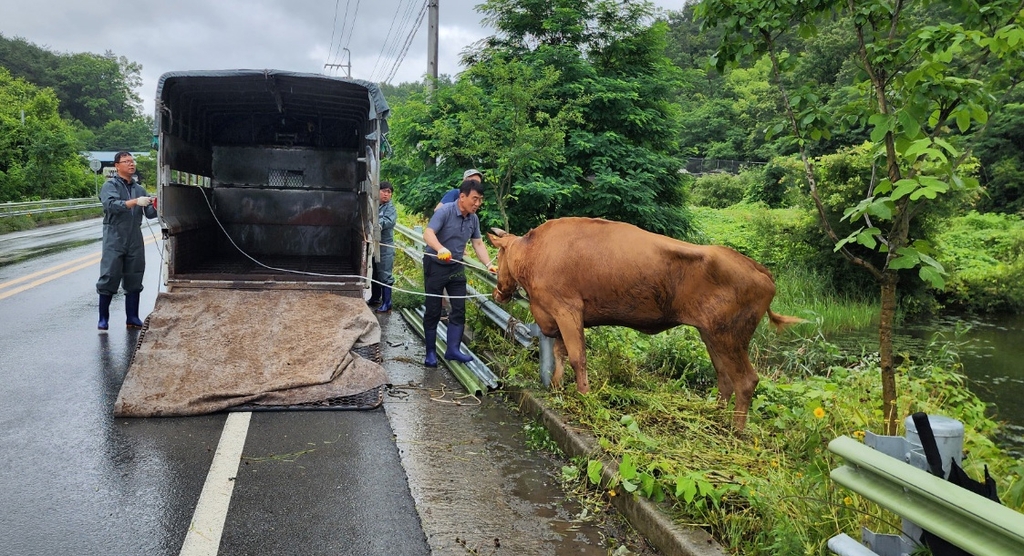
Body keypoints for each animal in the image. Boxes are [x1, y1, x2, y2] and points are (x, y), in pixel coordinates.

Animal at [487, 216, 798, 430]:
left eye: (498, 255)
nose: (497, 292)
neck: (534, 251)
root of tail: (756, 267)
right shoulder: (555, 315)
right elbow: (559, 353)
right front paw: (555, 386)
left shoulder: (567, 310)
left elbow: (577, 357)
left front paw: (584, 396)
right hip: (713, 335)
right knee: (724, 377)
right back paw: (714, 417)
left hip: (730, 336)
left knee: (746, 380)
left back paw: (736, 431)